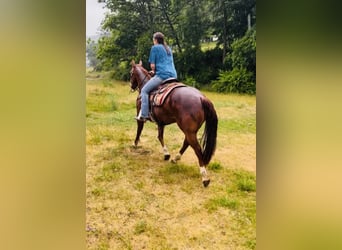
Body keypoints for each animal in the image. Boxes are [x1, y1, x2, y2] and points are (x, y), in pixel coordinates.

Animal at [130, 59, 218, 187]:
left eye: (131, 73)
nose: (131, 86)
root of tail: (202, 98)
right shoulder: (160, 122)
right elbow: (160, 137)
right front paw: (166, 154)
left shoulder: (140, 116)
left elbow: (139, 130)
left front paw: (135, 144)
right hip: (190, 130)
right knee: (187, 143)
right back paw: (175, 158)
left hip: (188, 130)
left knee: (196, 148)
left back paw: (204, 177)